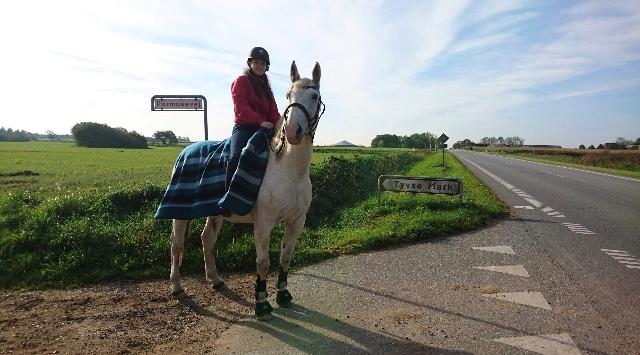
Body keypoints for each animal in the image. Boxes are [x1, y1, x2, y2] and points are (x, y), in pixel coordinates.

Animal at [170, 61, 322, 322]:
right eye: (288, 95)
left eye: (314, 96)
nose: (293, 131)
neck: (288, 170)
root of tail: (186, 150)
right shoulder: (263, 223)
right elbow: (263, 262)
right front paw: (261, 304)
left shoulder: (296, 222)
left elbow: (285, 257)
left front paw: (283, 295)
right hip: (179, 213)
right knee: (176, 245)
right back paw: (177, 286)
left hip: (215, 213)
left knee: (207, 238)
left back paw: (216, 279)